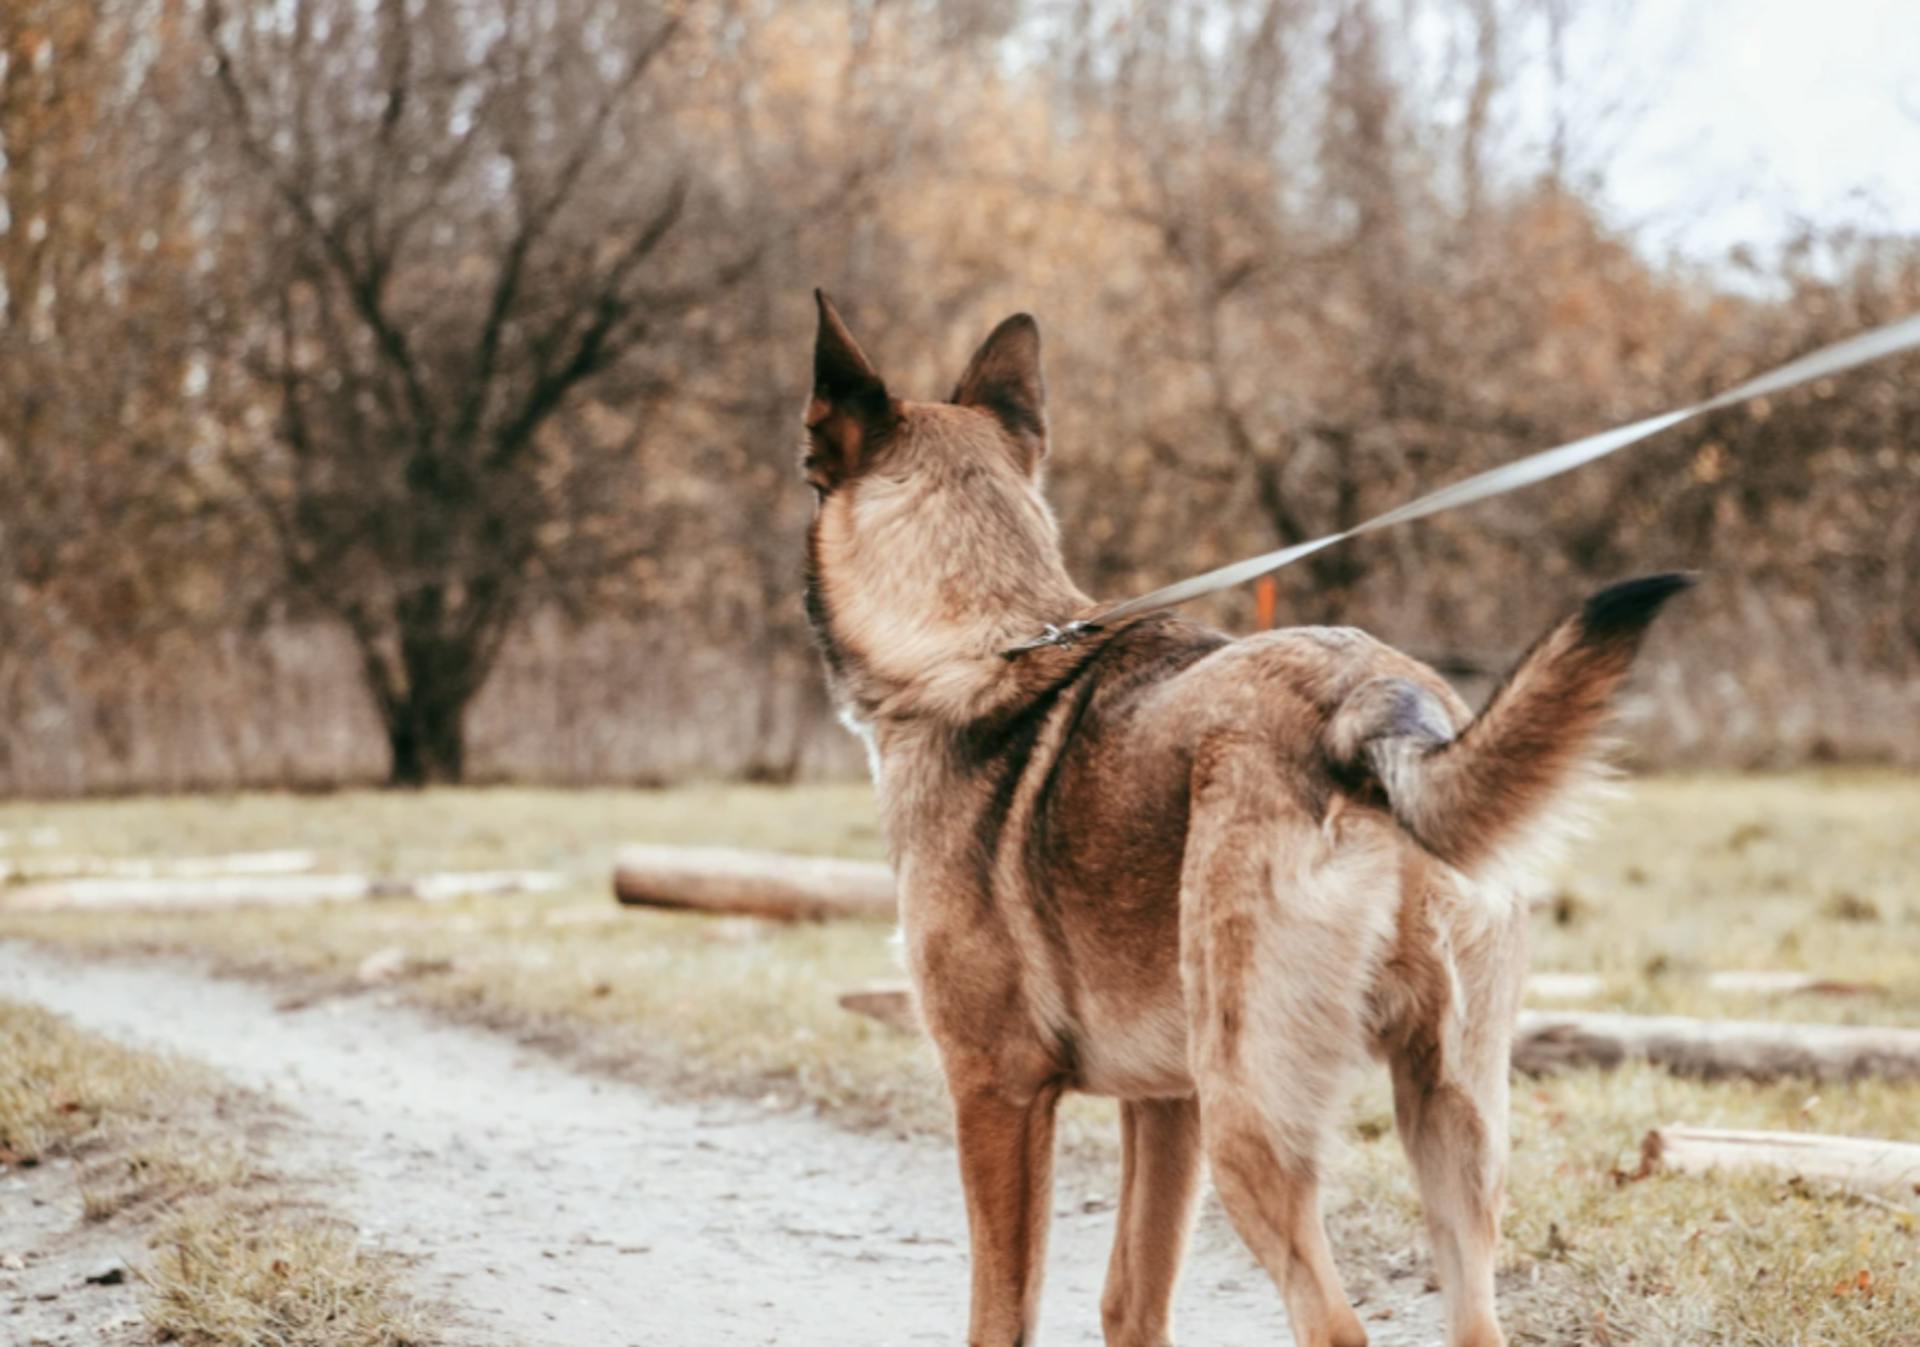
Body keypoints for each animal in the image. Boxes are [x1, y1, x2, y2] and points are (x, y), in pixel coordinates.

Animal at [802, 295, 1689, 1347]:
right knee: (1472, 1317)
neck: (986, 641)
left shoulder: (998, 1094)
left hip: (1250, 1121)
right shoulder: (1164, 1106)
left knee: (1333, 1322)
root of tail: (1373, 701)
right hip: (1449, 1121)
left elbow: (1001, 1315)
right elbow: (1131, 1302)